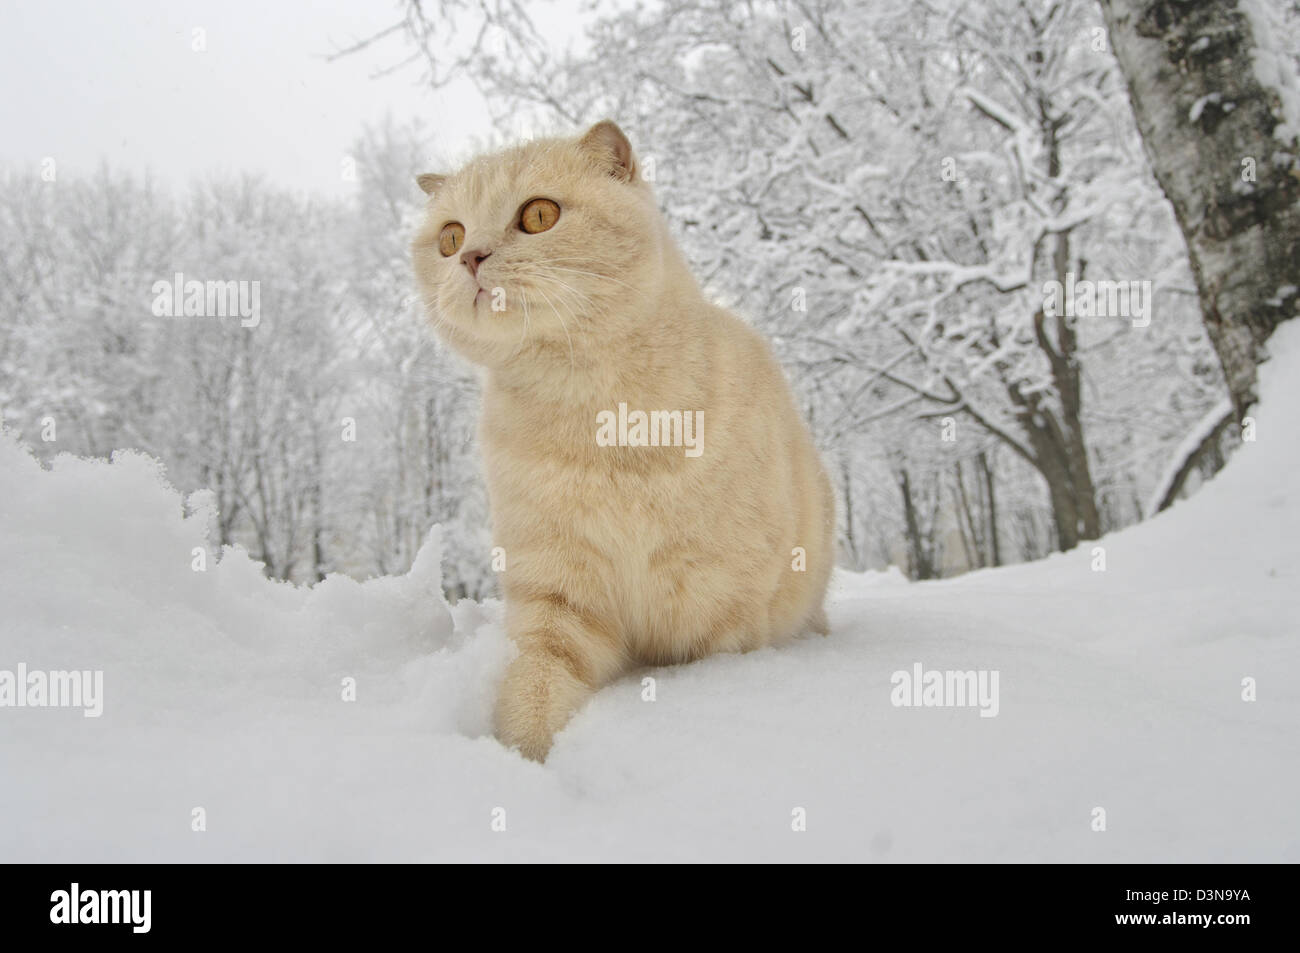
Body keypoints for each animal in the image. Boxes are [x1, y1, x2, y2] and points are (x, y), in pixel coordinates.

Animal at [410, 120, 832, 759]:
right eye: (449, 236)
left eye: (538, 215)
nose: (471, 257)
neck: (596, 415)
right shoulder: (557, 596)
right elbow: (532, 692)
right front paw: (519, 762)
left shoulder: (722, 607)